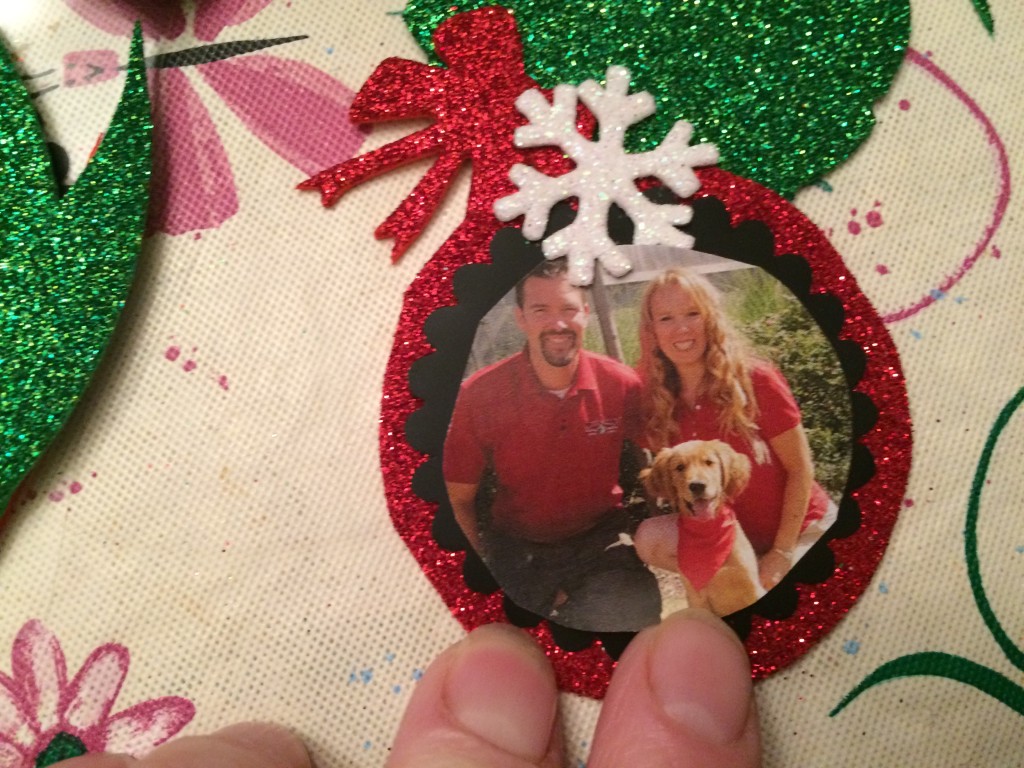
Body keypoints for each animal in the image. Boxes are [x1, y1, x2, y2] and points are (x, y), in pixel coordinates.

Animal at [634, 442, 765, 618]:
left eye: (709, 462)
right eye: (680, 467)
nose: (697, 486)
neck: (707, 532)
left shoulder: (751, 586)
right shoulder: (698, 598)